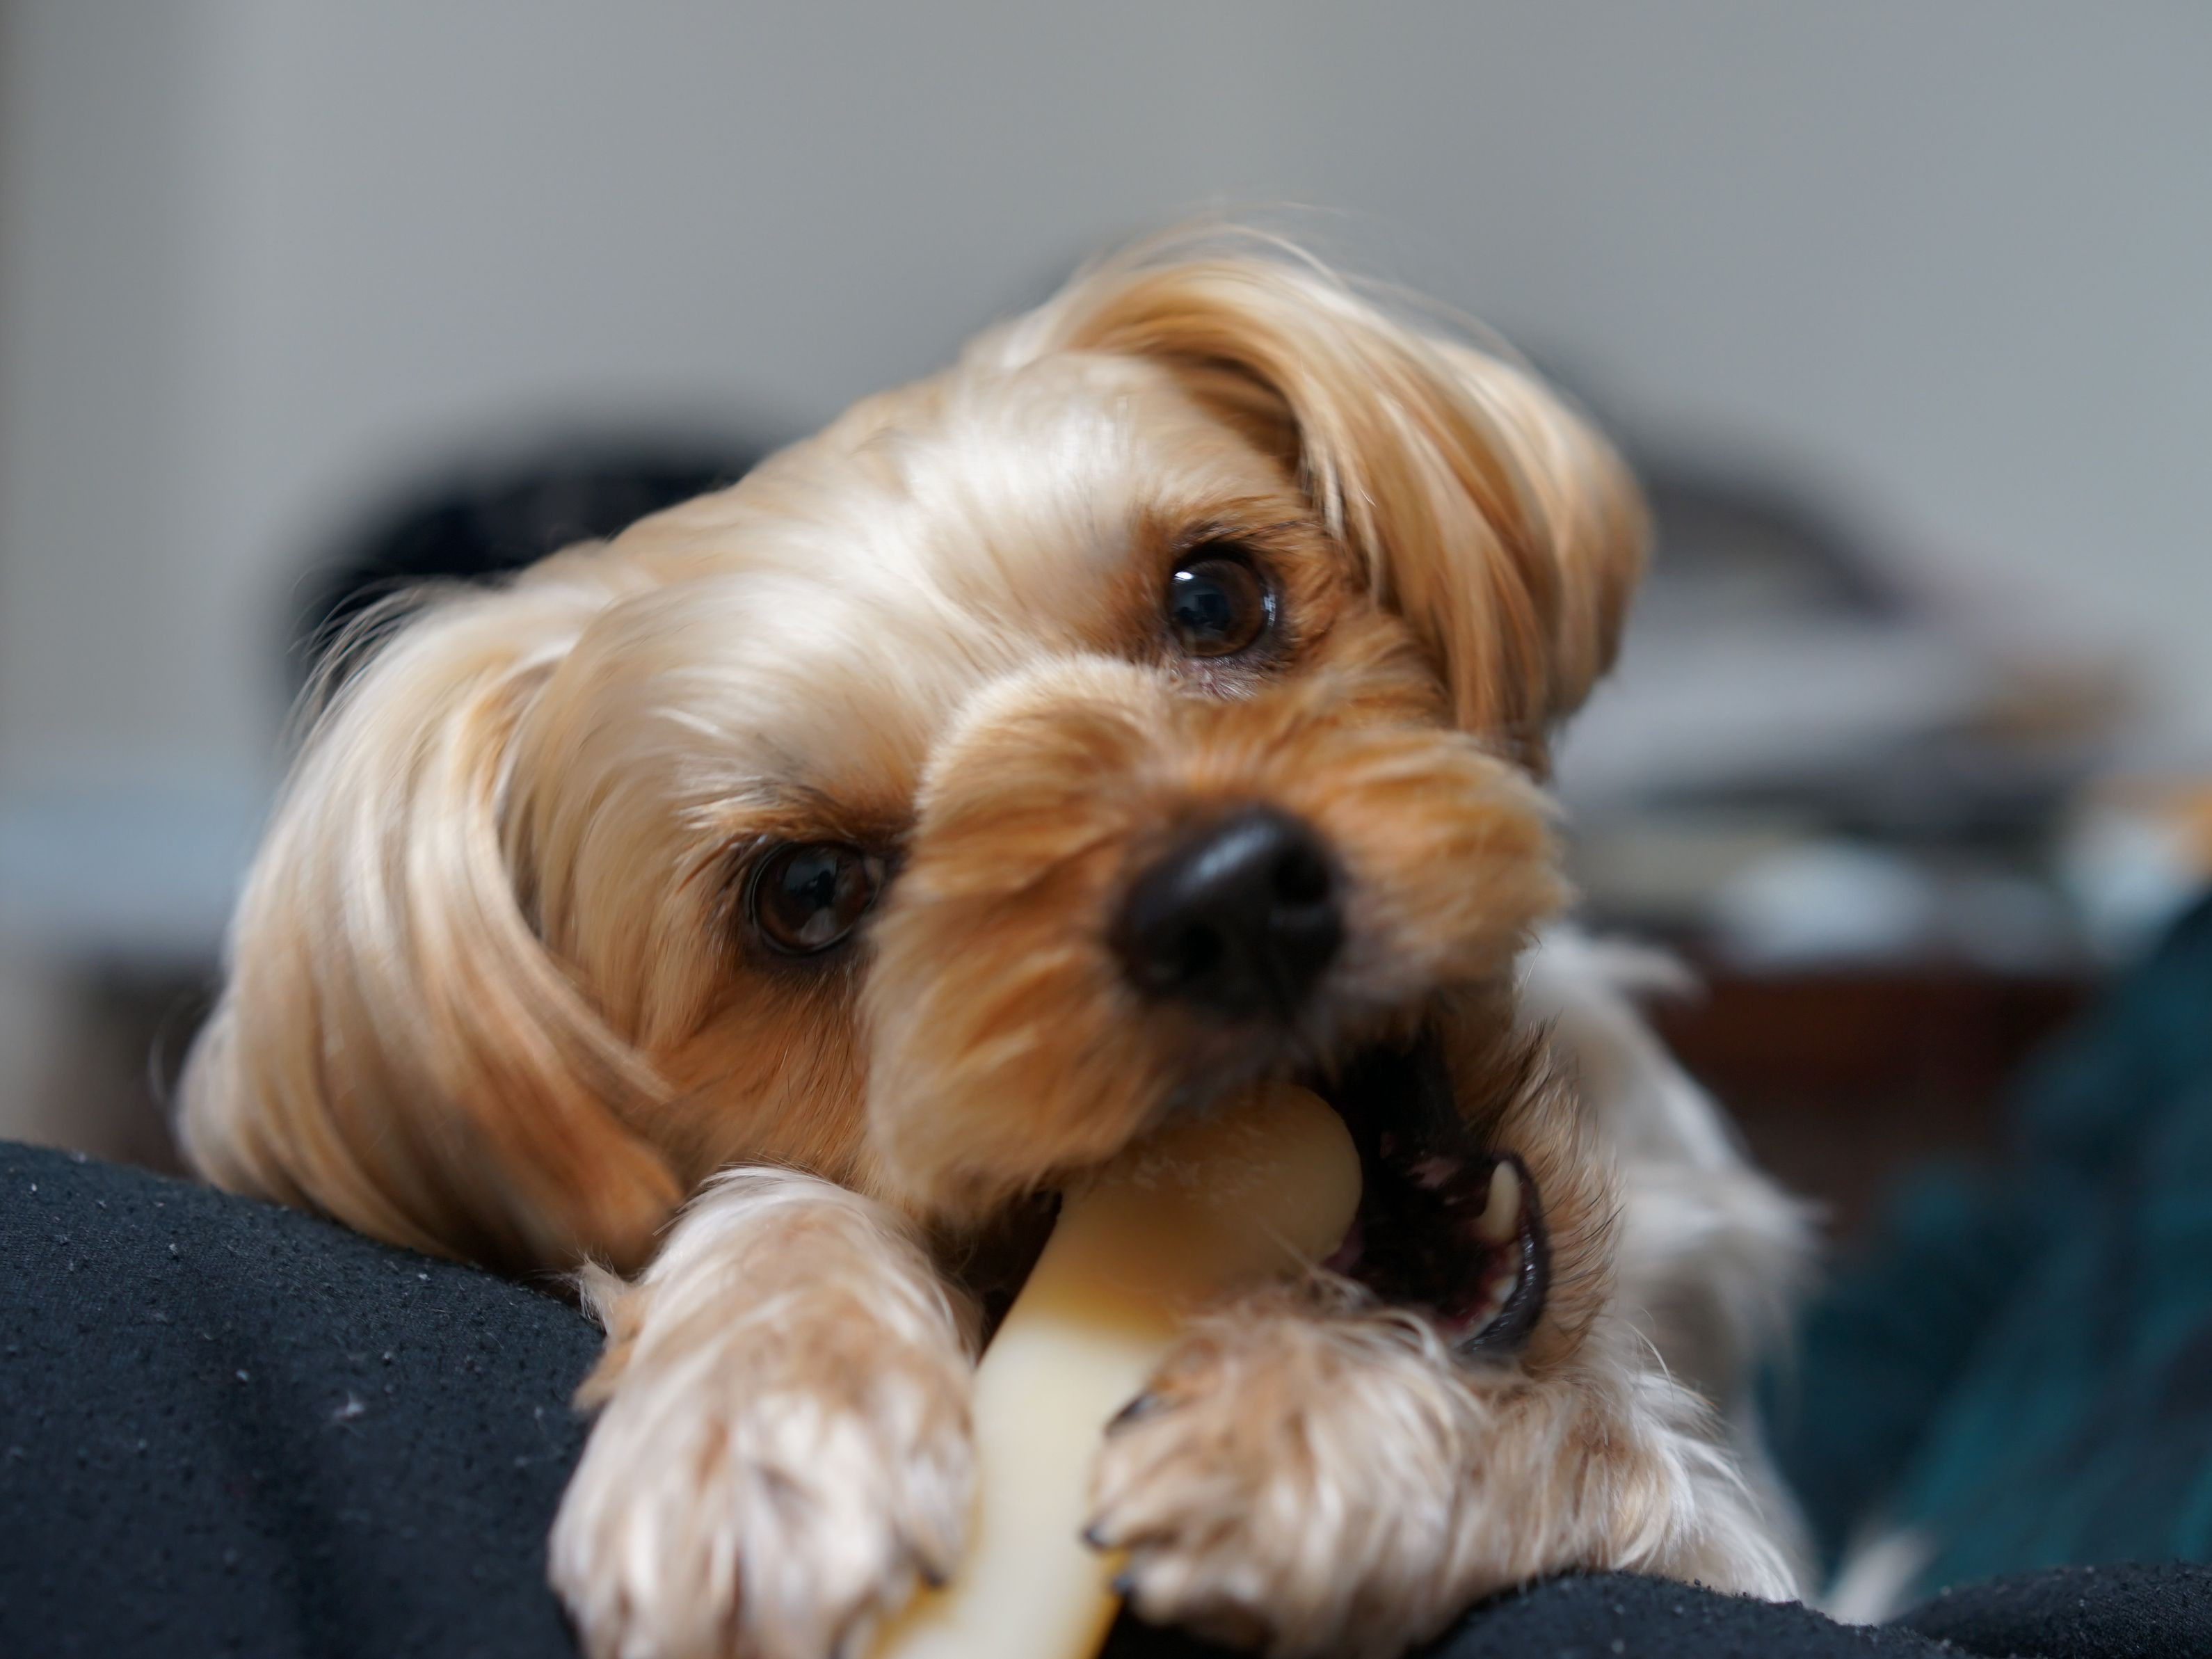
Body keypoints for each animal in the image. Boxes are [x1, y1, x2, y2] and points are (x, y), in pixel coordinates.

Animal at [179, 231, 1812, 1659]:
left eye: (1218, 593)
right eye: (806, 894)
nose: (1229, 896)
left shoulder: (1743, 1535)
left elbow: (1609, 1443)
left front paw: (1315, 1417)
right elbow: (775, 1211)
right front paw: (762, 1410)